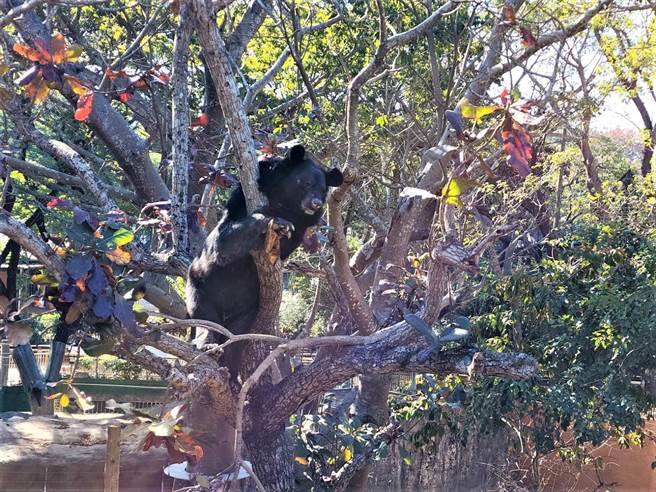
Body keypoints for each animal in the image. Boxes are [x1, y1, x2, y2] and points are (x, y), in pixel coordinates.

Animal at [185, 144, 343, 378]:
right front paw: (276, 221)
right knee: (205, 319)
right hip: (200, 288)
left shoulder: (302, 227)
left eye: (323, 190)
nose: (315, 204)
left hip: (246, 311)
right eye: (305, 182)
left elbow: (286, 245)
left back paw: (231, 374)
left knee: (236, 340)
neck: (284, 202)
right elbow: (223, 243)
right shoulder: (240, 200)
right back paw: (208, 346)